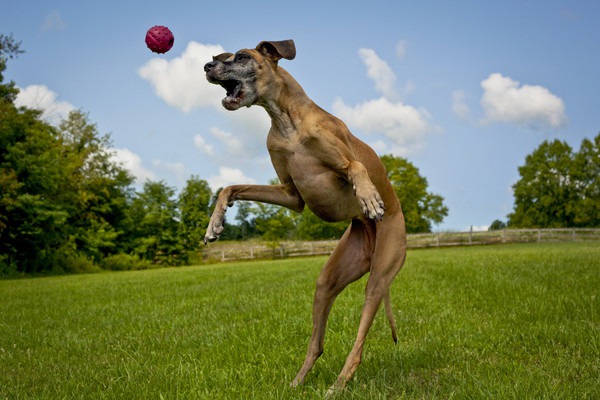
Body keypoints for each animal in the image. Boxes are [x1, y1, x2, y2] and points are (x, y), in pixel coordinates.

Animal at [204, 40, 406, 394]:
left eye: (241, 57)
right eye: (221, 57)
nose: (206, 66)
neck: (286, 122)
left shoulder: (343, 162)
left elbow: (356, 166)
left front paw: (369, 197)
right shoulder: (291, 195)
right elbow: (230, 186)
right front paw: (214, 224)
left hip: (380, 275)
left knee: (358, 342)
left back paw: (338, 385)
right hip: (331, 278)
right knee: (317, 342)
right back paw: (298, 381)